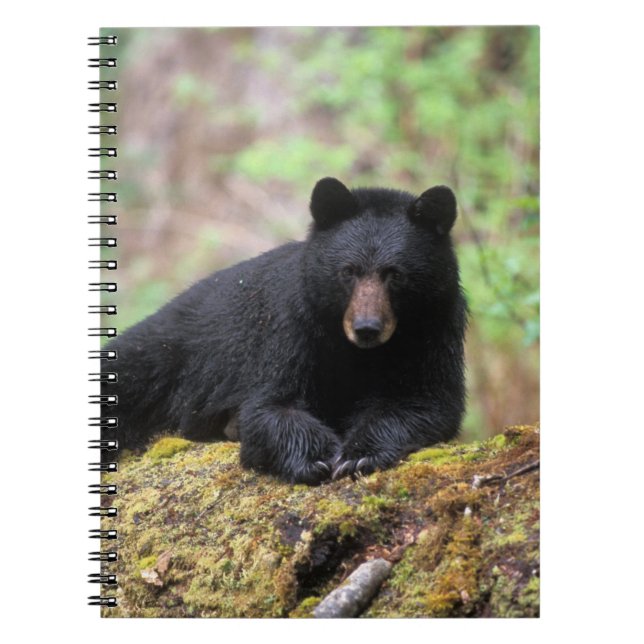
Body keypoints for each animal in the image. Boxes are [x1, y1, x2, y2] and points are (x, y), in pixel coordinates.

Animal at [101, 177, 467, 484]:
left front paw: (360, 455)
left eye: (395, 274)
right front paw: (315, 457)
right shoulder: (291, 327)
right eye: (348, 271)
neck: (357, 352)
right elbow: (271, 405)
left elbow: (426, 400)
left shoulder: (435, 328)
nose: (367, 328)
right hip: (161, 356)